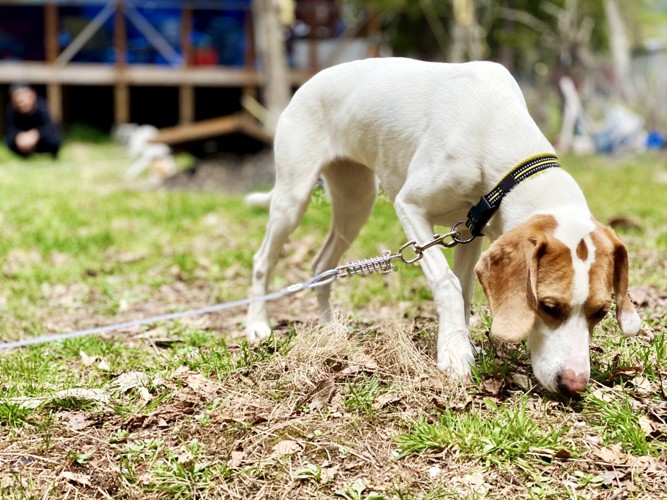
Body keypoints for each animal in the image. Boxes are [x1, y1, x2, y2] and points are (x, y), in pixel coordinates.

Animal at [247, 57, 640, 394]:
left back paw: (330, 329)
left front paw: (458, 341)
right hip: (293, 198)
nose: (574, 384)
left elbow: (464, 292)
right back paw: (257, 325)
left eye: (600, 312)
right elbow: (448, 285)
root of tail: (306, 83)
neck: (493, 128)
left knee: (322, 264)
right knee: (263, 260)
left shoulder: (470, 232)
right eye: (549, 307)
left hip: (356, 203)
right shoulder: (410, 208)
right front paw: (454, 355)